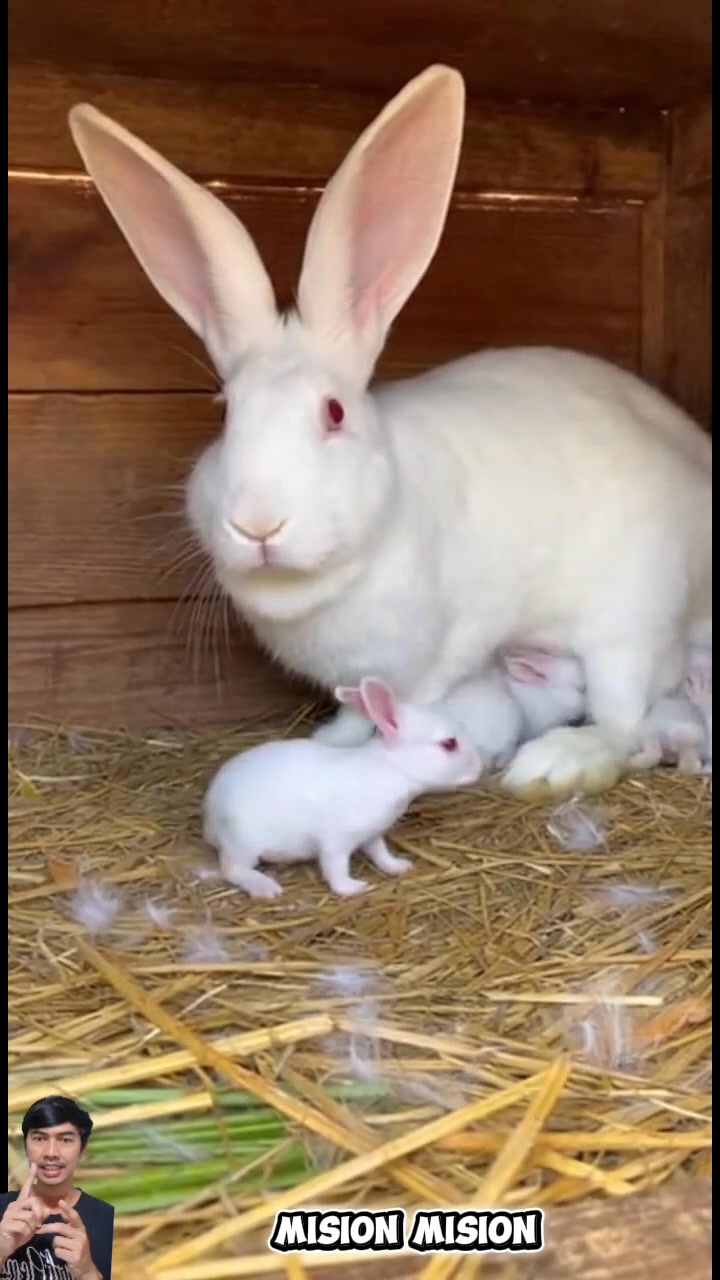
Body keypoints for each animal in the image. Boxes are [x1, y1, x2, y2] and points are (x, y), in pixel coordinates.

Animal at [67, 66, 712, 803]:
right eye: (225, 412)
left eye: (333, 413)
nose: (258, 525)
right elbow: (353, 712)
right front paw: (328, 742)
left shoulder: (434, 654)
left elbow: (406, 702)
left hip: (631, 616)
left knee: (622, 715)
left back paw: (554, 763)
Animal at [202, 676, 484, 900]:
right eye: (449, 744)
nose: (479, 767)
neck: (391, 770)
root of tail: (209, 816)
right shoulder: (335, 842)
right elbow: (335, 869)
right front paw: (353, 888)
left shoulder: (372, 835)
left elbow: (379, 853)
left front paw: (398, 866)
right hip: (245, 843)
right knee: (232, 868)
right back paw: (265, 888)